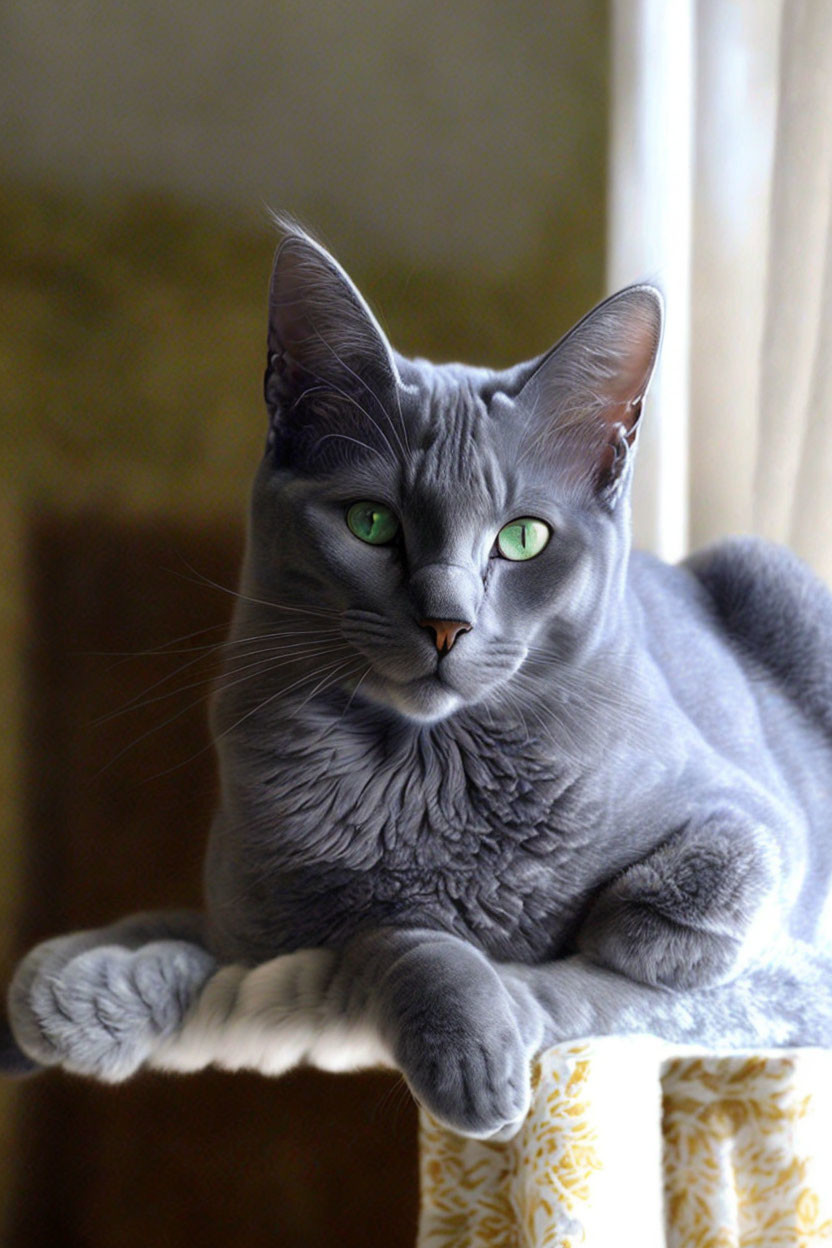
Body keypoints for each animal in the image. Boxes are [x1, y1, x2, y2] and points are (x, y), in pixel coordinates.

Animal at [9, 224, 832, 1143]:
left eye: (522, 538)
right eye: (371, 522)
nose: (446, 622)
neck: (425, 778)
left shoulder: (757, 815)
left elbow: (721, 873)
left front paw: (622, 942)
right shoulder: (264, 934)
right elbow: (221, 937)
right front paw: (81, 991)